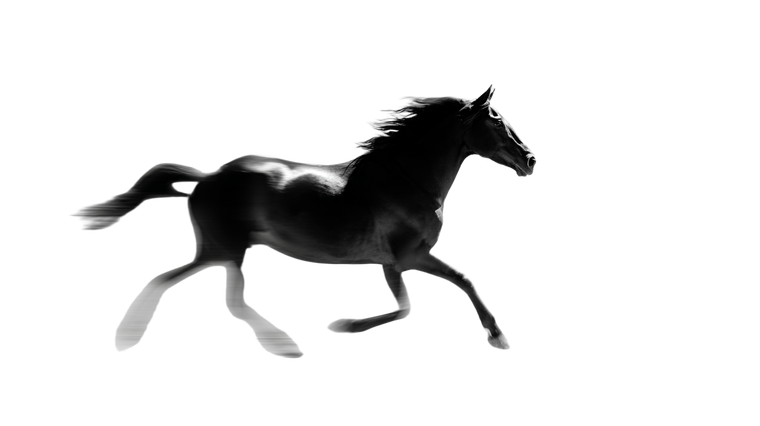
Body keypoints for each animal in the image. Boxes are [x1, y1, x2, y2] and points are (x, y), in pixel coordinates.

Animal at [66, 83, 538, 360]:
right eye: (497, 120)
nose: (531, 161)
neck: (407, 180)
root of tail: (207, 178)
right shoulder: (411, 255)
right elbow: (462, 281)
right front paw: (500, 339)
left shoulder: (390, 261)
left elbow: (407, 306)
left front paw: (344, 325)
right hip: (222, 247)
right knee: (174, 283)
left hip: (232, 250)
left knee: (226, 298)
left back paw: (280, 344)